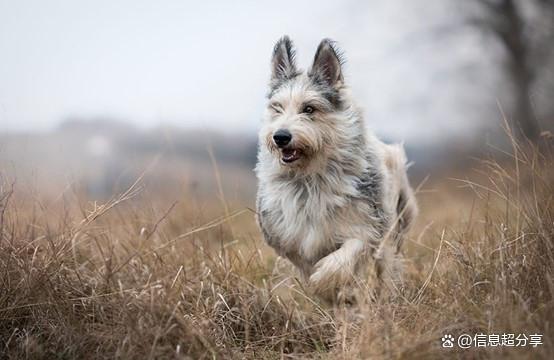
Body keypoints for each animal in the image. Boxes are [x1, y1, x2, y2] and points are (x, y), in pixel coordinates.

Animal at [254, 36, 414, 300]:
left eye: (309, 108)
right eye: (277, 108)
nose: (280, 137)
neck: (311, 178)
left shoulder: (368, 224)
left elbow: (347, 253)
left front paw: (326, 281)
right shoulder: (290, 236)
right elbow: (304, 263)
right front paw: (325, 292)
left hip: (395, 224)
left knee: (387, 265)